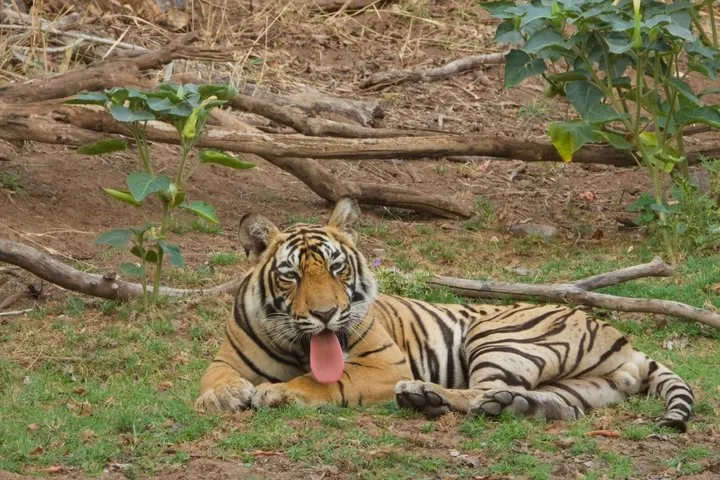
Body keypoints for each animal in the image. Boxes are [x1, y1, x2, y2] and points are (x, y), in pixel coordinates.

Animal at [195, 197, 694, 431]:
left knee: (480, 393)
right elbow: (213, 377)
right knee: (551, 407)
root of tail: (625, 341)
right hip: (582, 388)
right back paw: (497, 404)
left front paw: (277, 393)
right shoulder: (226, 358)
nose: (325, 314)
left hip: (500, 337)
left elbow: (323, 381)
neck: (300, 345)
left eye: (337, 269)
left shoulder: (385, 364)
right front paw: (221, 397)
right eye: (292, 276)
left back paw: (424, 395)